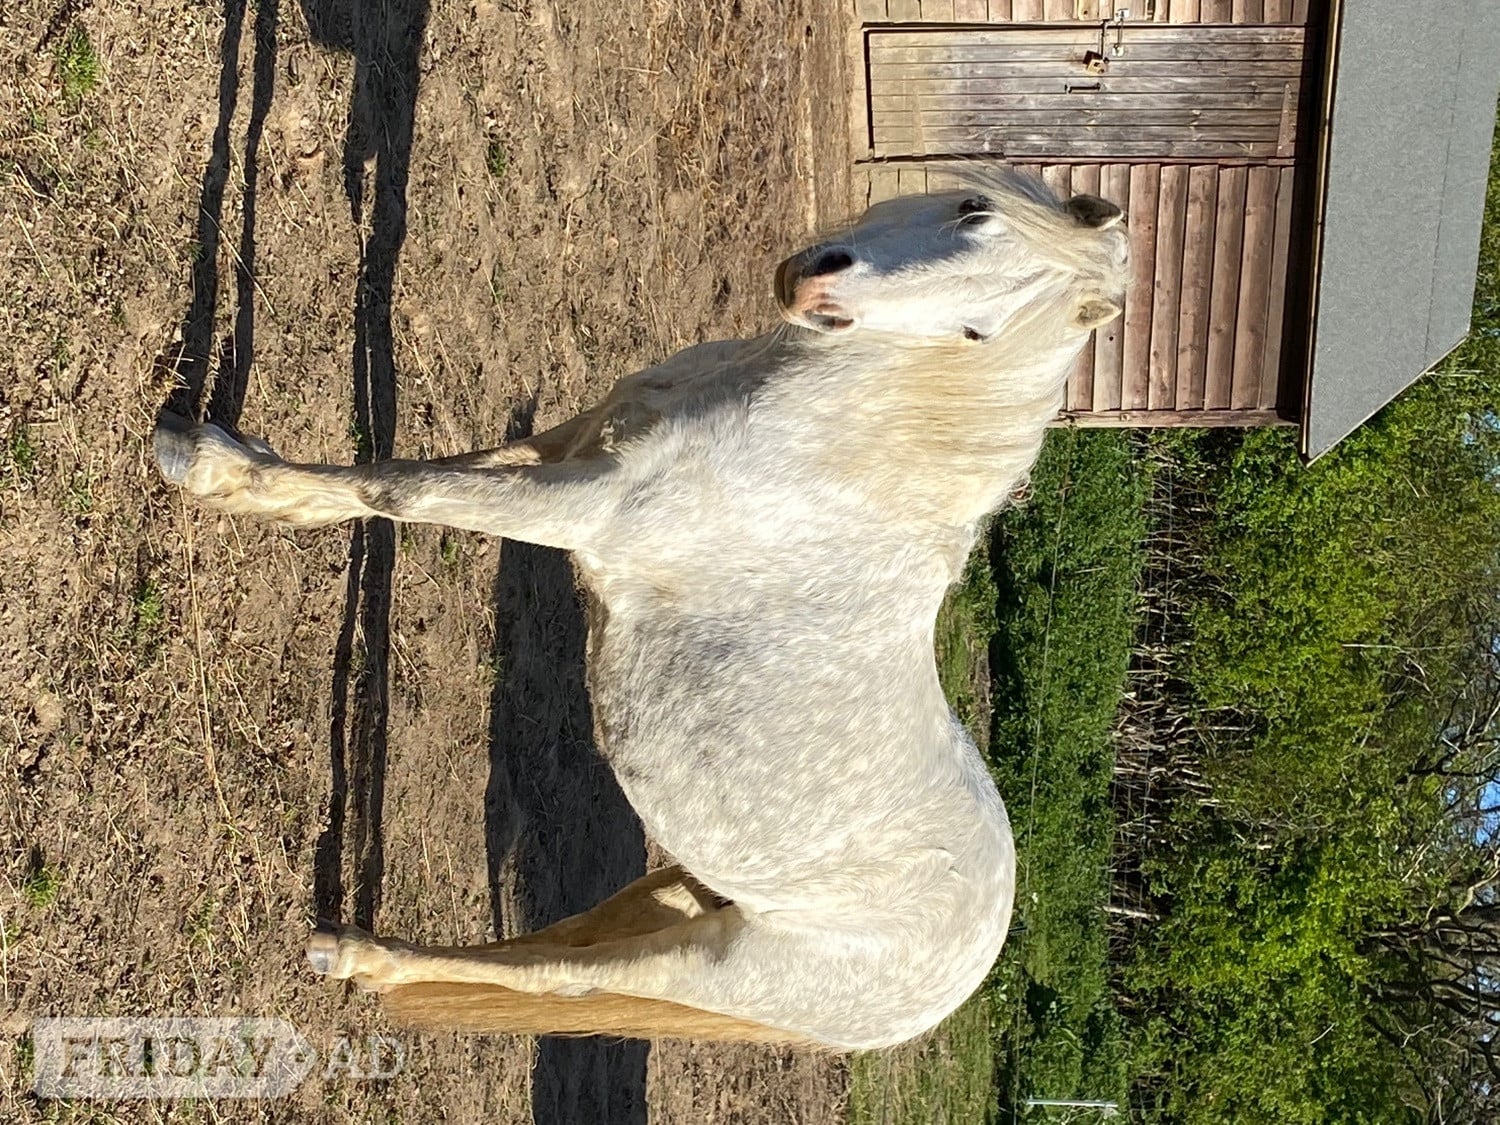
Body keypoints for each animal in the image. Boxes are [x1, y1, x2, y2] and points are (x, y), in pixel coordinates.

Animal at [153, 169, 1128, 1050]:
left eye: (978, 330)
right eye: (972, 208)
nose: (822, 284)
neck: (817, 443)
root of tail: (960, 974)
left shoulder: (584, 508)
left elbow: (399, 487)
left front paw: (208, 464)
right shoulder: (574, 442)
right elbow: (422, 470)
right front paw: (261, 487)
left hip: (724, 964)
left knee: (567, 977)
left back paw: (353, 955)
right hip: (683, 890)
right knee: (548, 953)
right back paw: (365, 956)